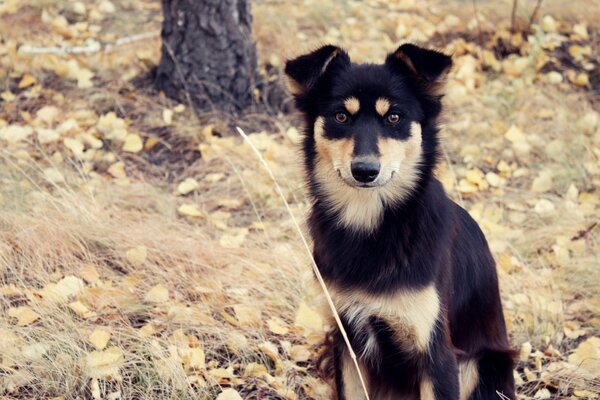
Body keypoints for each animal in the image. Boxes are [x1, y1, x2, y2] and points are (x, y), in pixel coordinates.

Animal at [284, 44, 516, 400]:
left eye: (394, 117)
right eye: (341, 116)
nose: (365, 171)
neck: (372, 224)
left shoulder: (437, 353)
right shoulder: (346, 341)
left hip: (482, 363)